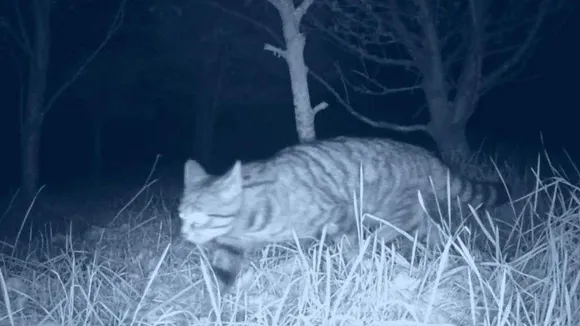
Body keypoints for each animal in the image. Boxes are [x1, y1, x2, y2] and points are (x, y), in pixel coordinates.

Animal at [179, 136, 510, 294]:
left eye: (199, 220)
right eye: (181, 217)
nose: (183, 234)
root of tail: (428, 156)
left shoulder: (339, 212)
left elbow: (348, 245)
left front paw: (356, 262)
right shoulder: (231, 242)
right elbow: (224, 268)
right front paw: (218, 300)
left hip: (389, 205)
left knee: (400, 225)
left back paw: (379, 240)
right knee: (431, 227)